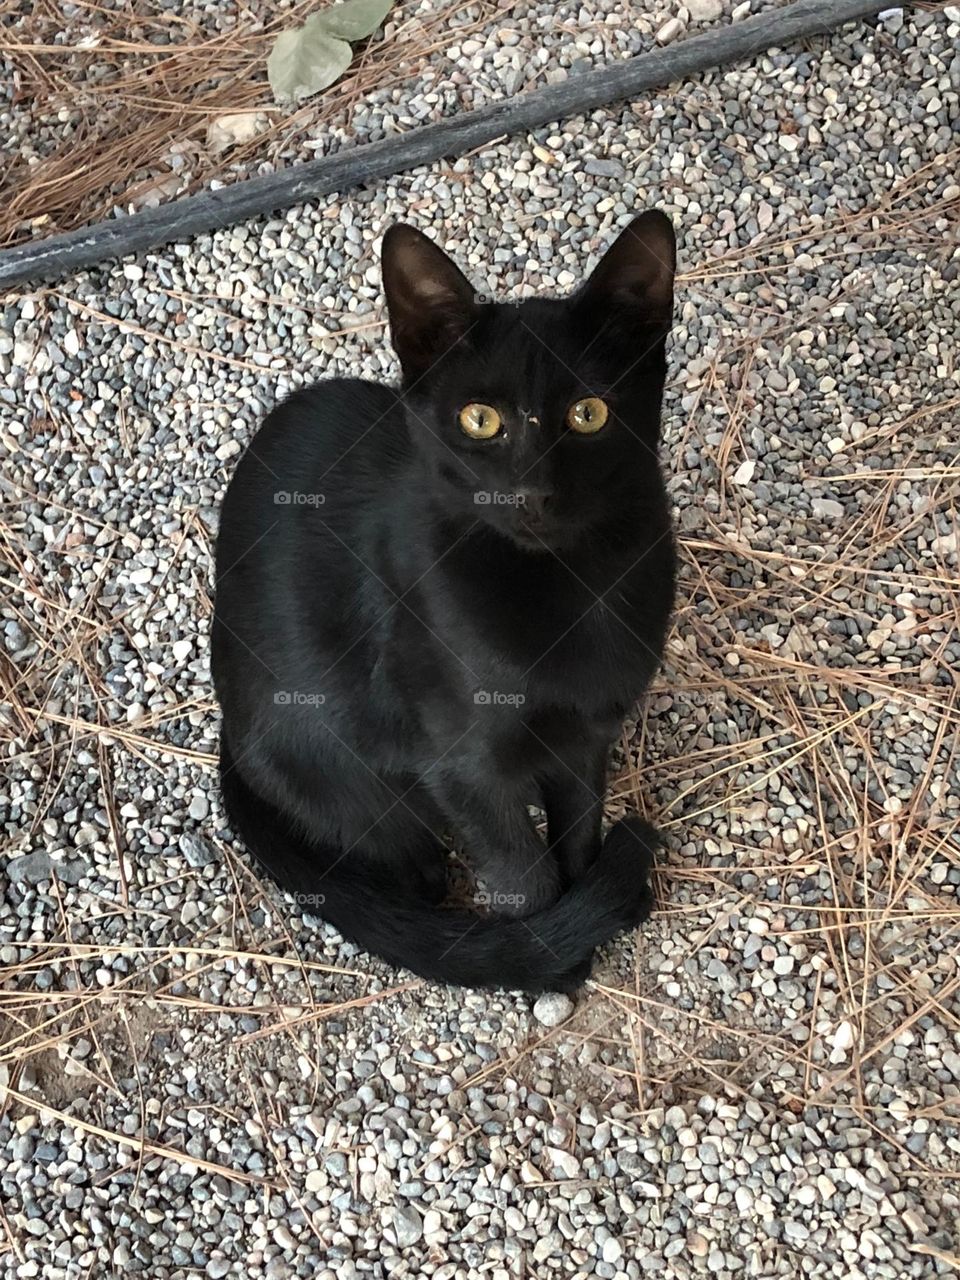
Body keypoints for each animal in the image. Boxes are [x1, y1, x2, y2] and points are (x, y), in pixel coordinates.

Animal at [212, 212, 675, 988]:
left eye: (589, 413)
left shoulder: (585, 739)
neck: (575, 589)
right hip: (360, 776)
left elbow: (580, 829)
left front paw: (592, 904)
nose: (532, 492)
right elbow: (523, 869)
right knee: (403, 861)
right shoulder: (464, 769)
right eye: (479, 420)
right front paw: (553, 956)